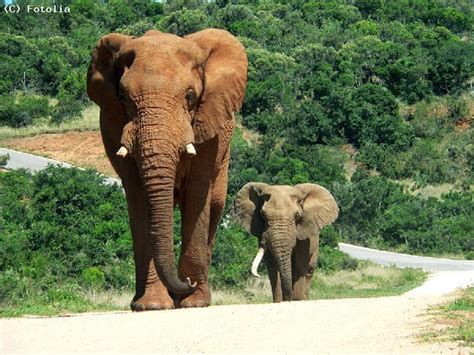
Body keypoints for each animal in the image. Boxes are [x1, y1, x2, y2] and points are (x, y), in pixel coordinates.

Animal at [87, 28, 248, 312]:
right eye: (123, 98)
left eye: (190, 96)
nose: (187, 282)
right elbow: (139, 200)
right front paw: (151, 306)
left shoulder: (209, 128)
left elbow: (197, 194)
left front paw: (193, 303)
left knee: (214, 207)